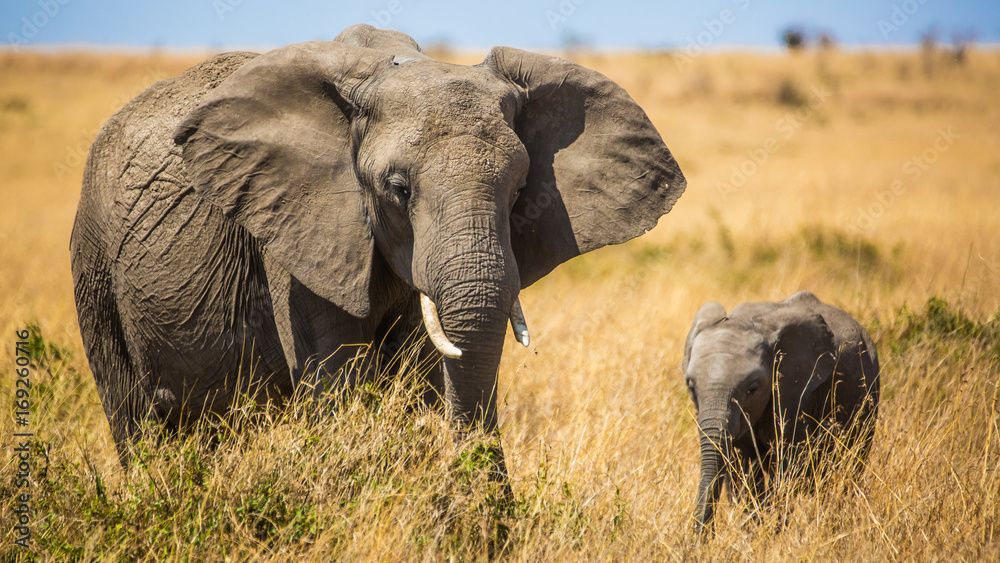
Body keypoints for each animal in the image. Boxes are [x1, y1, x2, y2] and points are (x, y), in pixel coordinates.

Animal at [66, 24, 684, 470]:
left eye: (518, 193)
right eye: (398, 189)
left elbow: (428, 373)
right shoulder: (299, 232)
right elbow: (339, 379)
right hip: (93, 268)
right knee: (136, 421)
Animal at [684, 290, 880, 528]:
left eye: (752, 389)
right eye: (691, 385)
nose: (702, 535)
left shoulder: (796, 393)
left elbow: (788, 464)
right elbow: (742, 467)